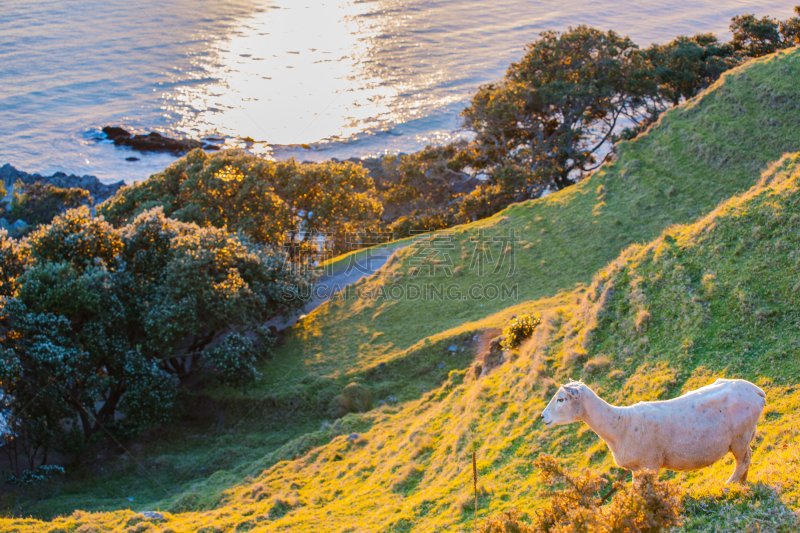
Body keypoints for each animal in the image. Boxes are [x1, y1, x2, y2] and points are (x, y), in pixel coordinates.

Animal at [540, 378, 764, 482]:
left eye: (561, 399)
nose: (543, 417)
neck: (620, 425)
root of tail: (756, 390)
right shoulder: (637, 469)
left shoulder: (651, 464)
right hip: (744, 436)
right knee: (746, 459)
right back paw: (741, 483)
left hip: (740, 436)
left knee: (743, 461)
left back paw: (730, 483)